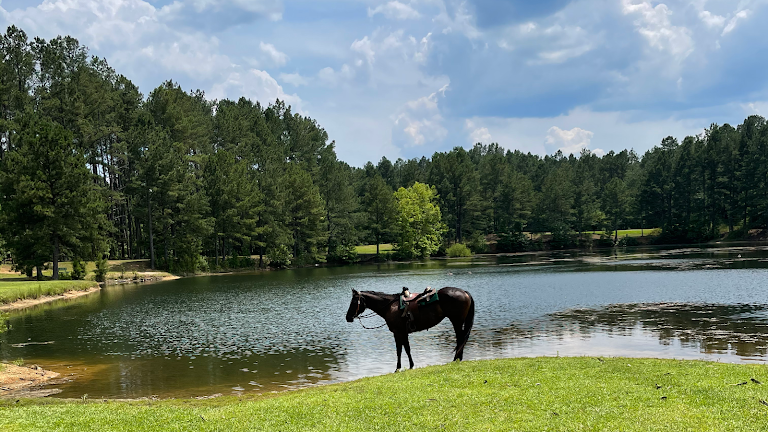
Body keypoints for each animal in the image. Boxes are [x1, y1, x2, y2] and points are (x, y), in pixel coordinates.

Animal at [346, 287, 475, 372]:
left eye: (353, 301)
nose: (348, 317)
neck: (390, 306)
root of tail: (465, 292)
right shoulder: (403, 333)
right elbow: (407, 349)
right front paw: (411, 365)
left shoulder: (398, 333)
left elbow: (399, 350)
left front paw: (398, 368)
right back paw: (458, 358)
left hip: (456, 321)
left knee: (460, 338)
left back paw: (456, 358)